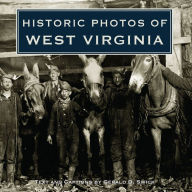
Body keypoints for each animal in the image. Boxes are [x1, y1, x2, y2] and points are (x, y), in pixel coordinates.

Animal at [128, 54, 178, 182]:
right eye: (134, 60)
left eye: (148, 59)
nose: (133, 86)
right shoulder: (155, 130)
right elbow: (158, 155)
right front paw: (157, 180)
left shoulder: (176, 130)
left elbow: (174, 152)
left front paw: (173, 175)